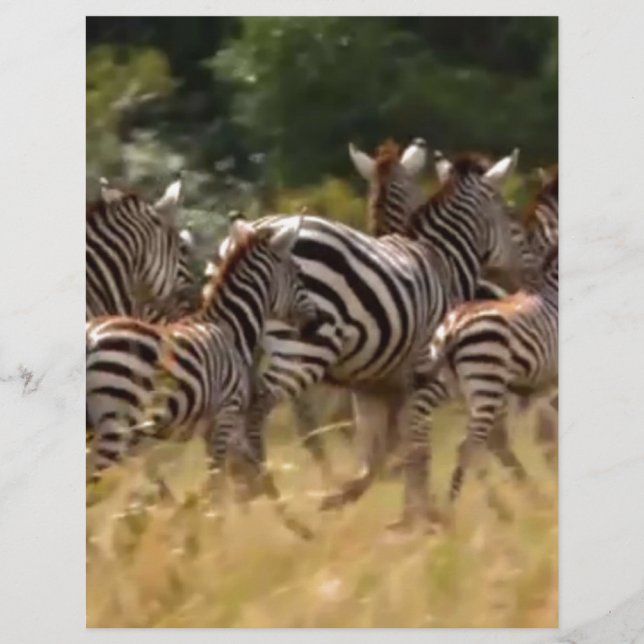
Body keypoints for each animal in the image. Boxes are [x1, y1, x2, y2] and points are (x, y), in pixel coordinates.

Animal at [86, 216, 329, 524]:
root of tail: (91, 337)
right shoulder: (226, 414)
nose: (317, 322)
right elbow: (218, 482)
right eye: (298, 272)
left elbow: (243, 474)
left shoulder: (216, 425)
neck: (230, 328)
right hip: (115, 428)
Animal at [218, 150, 526, 511]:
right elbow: (414, 443)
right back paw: (266, 490)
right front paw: (424, 509)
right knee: (260, 412)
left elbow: (381, 449)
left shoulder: (373, 387)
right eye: (509, 212)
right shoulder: (427, 376)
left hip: (242, 339)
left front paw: (353, 495)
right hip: (305, 350)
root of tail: (253, 230)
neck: (442, 261)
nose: (518, 279)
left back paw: (245, 493)